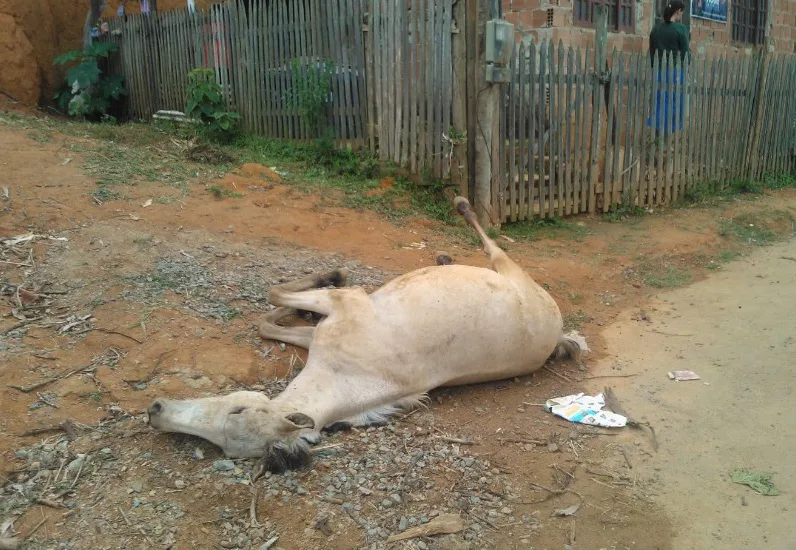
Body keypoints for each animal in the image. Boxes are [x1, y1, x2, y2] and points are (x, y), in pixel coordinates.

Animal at [146, 197, 580, 474]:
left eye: (236, 411)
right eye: (222, 446)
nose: (155, 410)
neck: (348, 380)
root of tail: (558, 330)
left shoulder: (345, 303)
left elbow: (276, 296)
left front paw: (330, 275)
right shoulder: (320, 336)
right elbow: (268, 323)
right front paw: (299, 307)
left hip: (510, 268)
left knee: (491, 243)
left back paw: (460, 207)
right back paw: (443, 258)